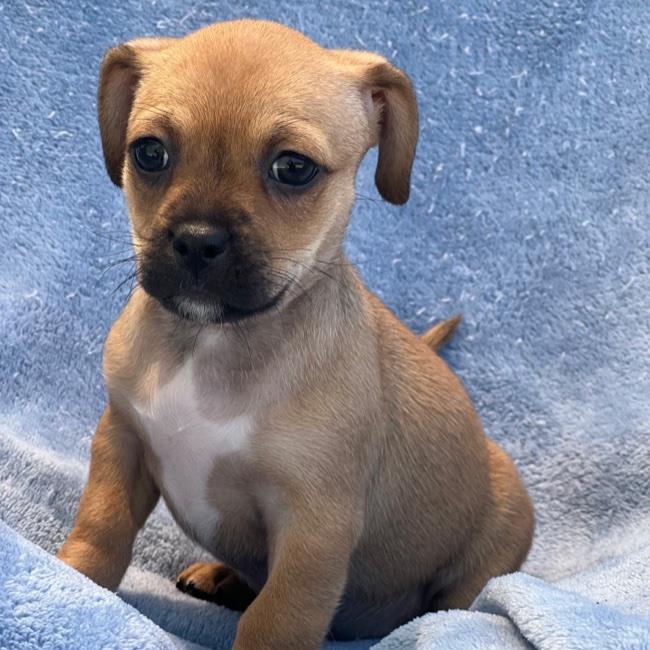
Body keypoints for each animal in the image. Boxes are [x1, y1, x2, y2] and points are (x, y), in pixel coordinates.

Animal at [57, 19, 534, 649]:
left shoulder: (313, 529)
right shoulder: (122, 441)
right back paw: (223, 576)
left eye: (293, 168)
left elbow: (279, 616)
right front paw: (72, 579)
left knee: (459, 604)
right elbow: (102, 524)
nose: (196, 239)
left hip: (495, 537)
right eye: (150, 153)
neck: (214, 343)